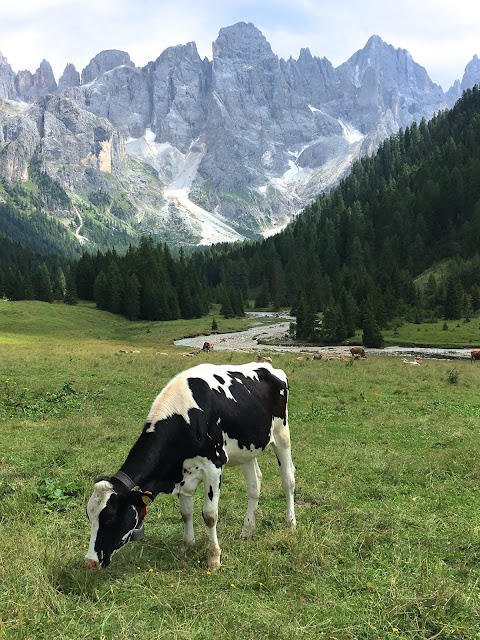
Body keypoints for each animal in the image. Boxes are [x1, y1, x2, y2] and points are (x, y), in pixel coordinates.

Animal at [86, 364, 296, 568]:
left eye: (110, 518)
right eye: (90, 516)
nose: (90, 561)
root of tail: (269, 367)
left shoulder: (213, 466)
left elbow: (210, 515)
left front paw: (214, 558)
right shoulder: (182, 473)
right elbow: (186, 513)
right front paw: (186, 547)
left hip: (282, 435)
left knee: (288, 480)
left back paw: (290, 523)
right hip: (247, 448)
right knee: (254, 485)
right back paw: (247, 531)